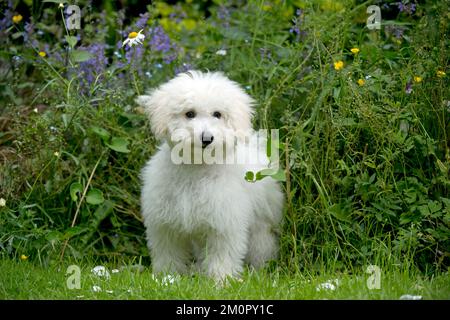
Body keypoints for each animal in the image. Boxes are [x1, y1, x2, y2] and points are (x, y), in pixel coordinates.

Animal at [138, 70, 284, 280]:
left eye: (217, 114)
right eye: (189, 113)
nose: (206, 138)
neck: (197, 166)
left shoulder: (224, 221)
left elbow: (223, 254)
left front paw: (222, 279)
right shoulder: (165, 225)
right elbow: (169, 252)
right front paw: (168, 276)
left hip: (262, 219)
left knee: (261, 243)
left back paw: (260, 269)